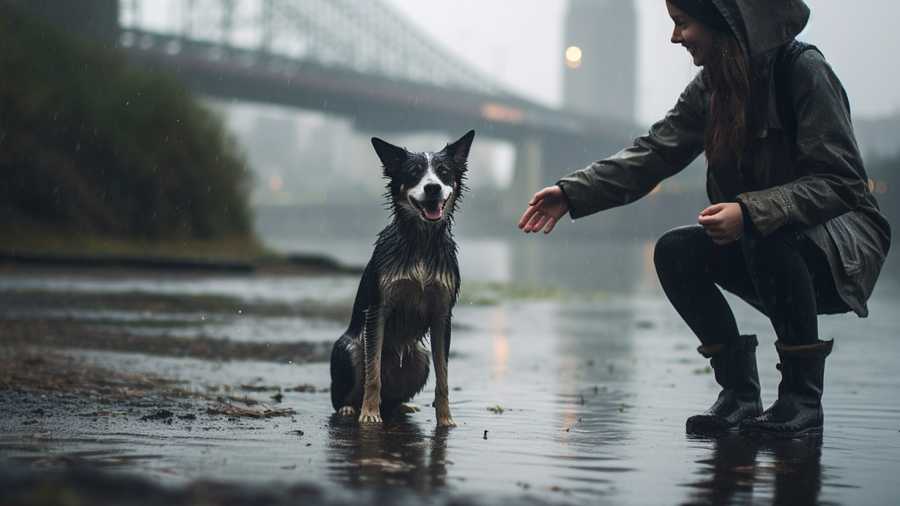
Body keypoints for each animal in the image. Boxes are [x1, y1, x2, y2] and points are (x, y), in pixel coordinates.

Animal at [326, 130, 474, 426]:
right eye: (414, 173)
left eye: (443, 172)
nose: (433, 188)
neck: (421, 242)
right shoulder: (378, 309)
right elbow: (373, 373)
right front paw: (369, 414)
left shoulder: (442, 315)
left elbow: (443, 378)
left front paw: (445, 420)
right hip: (348, 348)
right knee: (348, 391)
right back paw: (352, 408)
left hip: (420, 359)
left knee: (394, 398)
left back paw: (401, 407)